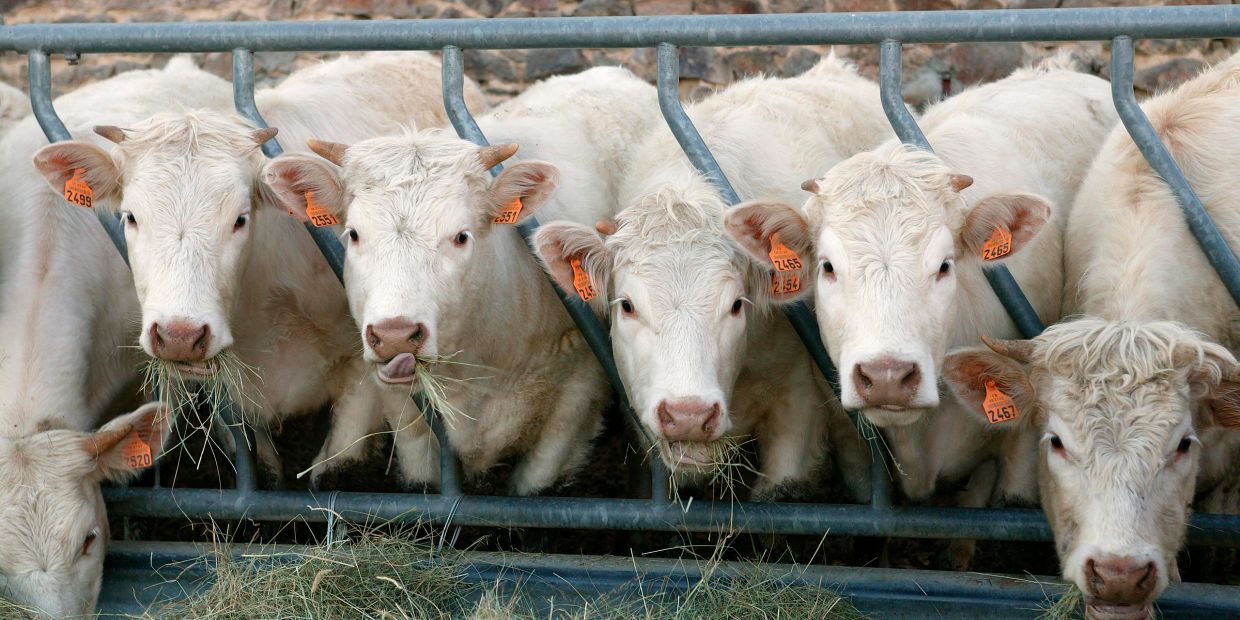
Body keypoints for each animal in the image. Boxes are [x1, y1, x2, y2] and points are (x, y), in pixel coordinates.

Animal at [30, 52, 486, 481]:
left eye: (240, 218)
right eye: (130, 217)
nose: (179, 336)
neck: (264, 307)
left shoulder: (368, 355)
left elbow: (341, 460)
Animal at [262, 67, 658, 495]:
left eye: (461, 236)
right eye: (353, 233)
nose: (395, 334)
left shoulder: (578, 396)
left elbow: (535, 482)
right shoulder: (405, 409)